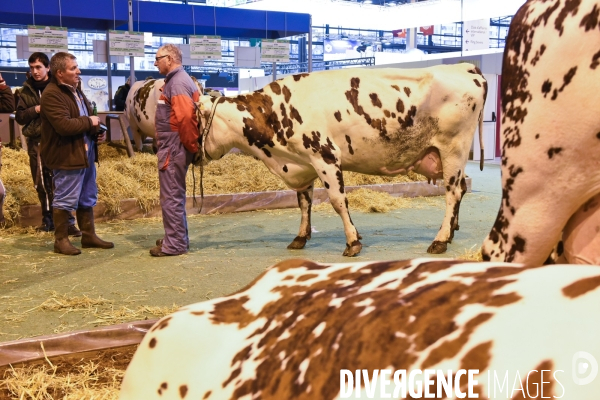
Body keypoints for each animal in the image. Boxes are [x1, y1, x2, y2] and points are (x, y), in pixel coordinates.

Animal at [195, 63, 486, 256]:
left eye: (195, 119)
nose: (194, 155)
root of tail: (466, 66)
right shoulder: (304, 163)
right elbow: (304, 202)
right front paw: (301, 237)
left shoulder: (324, 156)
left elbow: (337, 201)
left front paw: (353, 241)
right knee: (460, 190)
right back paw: (451, 232)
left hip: (453, 148)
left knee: (452, 192)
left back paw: (440, 240)